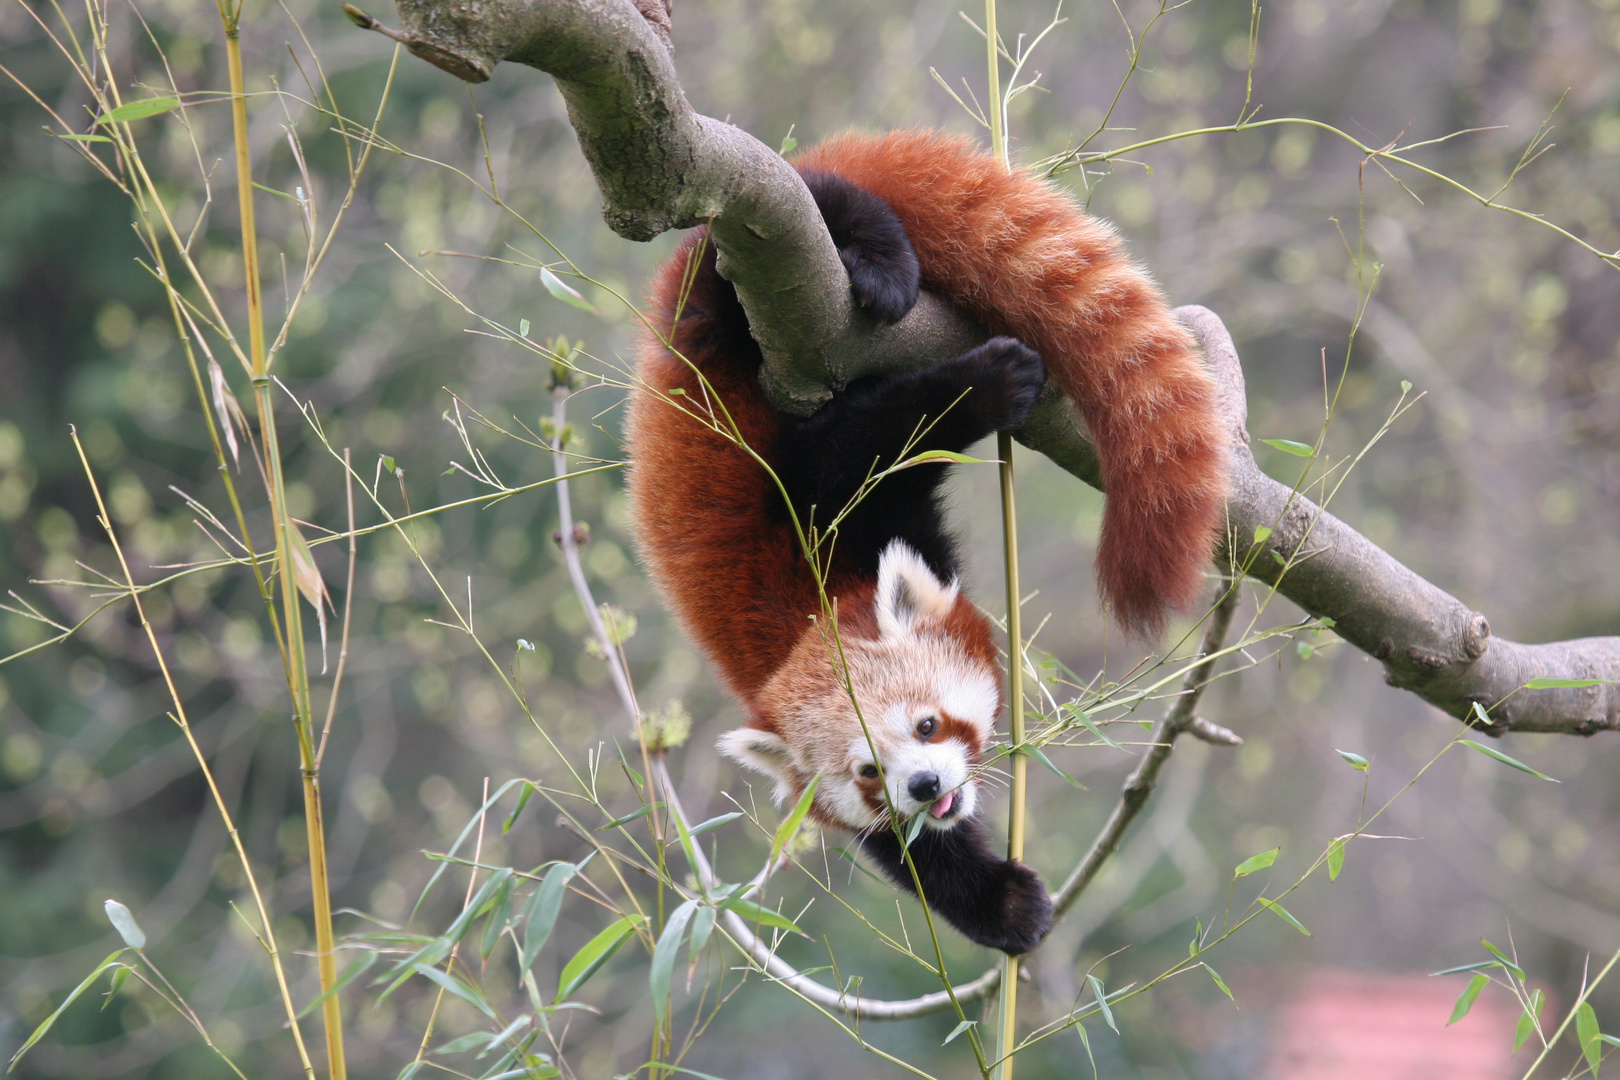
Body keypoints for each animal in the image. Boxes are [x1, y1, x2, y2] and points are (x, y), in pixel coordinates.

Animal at [622, 128, 1224, 952]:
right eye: (870, 773)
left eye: (927, 724)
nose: (925, 783)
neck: (809, 612)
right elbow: (907, 850)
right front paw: (1001, 905)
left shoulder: (821, 512)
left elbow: (859, 450)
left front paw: (989, 383)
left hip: (747, 293)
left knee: (817, 196)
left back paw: (878, 263)